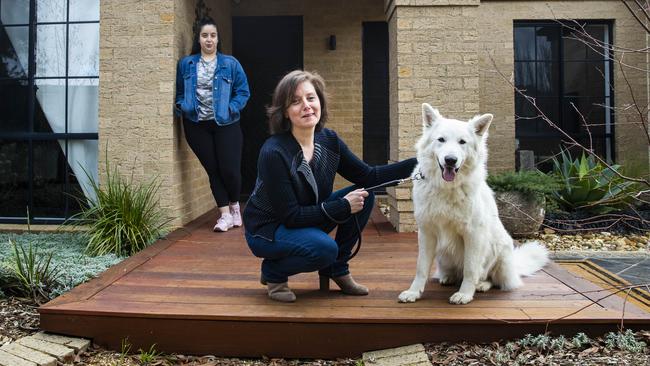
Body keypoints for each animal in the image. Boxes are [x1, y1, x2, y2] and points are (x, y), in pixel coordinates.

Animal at [398, 103, 544, 306]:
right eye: (441, 140)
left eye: (462, 142)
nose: (450, 160)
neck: (447, 188)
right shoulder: (427, 233)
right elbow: (421, 267)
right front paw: (414, 292)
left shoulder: (473, 234)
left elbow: (470, 268)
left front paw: (465, 294)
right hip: (443, 254)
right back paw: (448, 277)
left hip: (499, 247)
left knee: (492, 278)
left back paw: (481, 284)